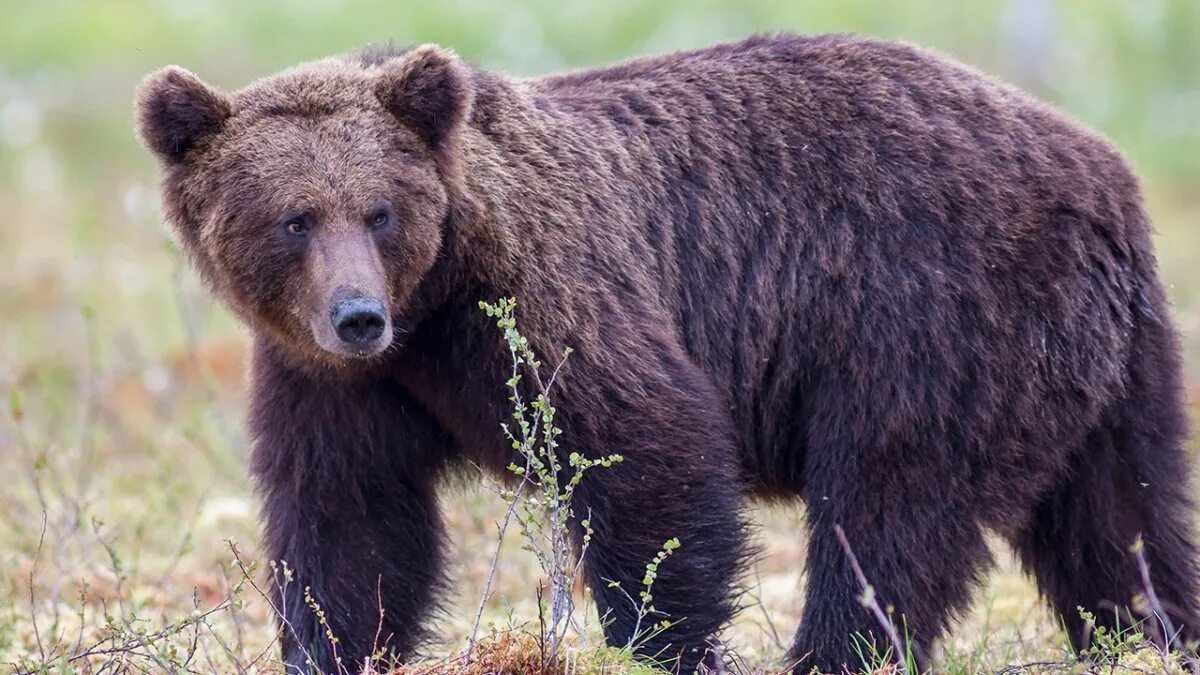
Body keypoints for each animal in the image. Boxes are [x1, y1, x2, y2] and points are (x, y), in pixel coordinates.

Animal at [136, 32, 1195, 672]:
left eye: (379, 210)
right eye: (293, 218)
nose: (356, 314)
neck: (433, 302)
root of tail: (1103, 170)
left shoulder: (546, 295)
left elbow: (649, 453)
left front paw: (666, 636)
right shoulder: (335, 380)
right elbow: (349, 521)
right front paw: (333, 643)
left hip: (931, 320)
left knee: (891, 511)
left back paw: (834, 647)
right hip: (1104, 364)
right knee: (1120, 522)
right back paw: (1155, 632)